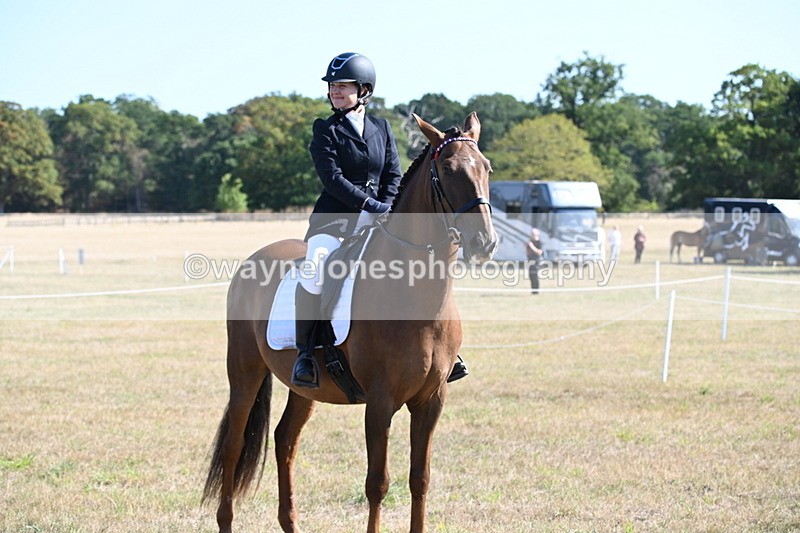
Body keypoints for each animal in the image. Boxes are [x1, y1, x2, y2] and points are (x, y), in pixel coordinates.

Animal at [202, 112, 497, 533]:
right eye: (448, 170)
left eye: (486, 168)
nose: (484, 243)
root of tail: (253, 260)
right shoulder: (380, 401)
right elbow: (378, 483)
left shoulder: (431, 400)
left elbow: (420, 480)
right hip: (244, 370)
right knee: (234, 444)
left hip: (303, 386)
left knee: (285, 439)